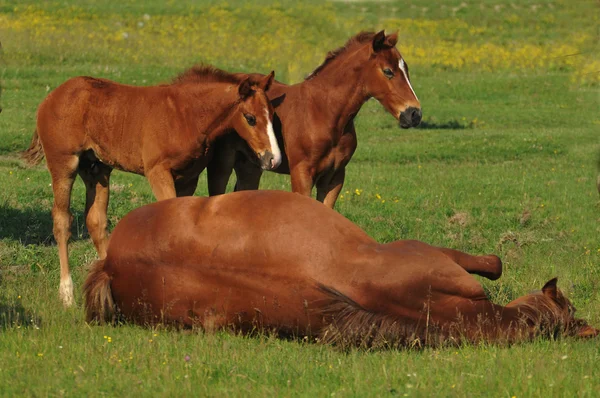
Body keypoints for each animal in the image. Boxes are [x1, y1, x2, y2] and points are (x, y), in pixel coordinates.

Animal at [23, 67, 282, 306]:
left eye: (273, 116)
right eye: (250, 118)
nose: (274, 159)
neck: (187, 115)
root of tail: (52, 96)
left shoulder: (188, 178)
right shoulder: (158, 172)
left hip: (97, 168)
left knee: (95, 221)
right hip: (63, 164)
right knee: (62, 221)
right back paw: (67, 295)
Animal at [206, 31, 422, 208]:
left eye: (406, 69)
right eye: (388, 71)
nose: (414, 114)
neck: (323, 112)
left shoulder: (335, 176)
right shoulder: (302, 173)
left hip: (251, 165)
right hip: (222, 163)